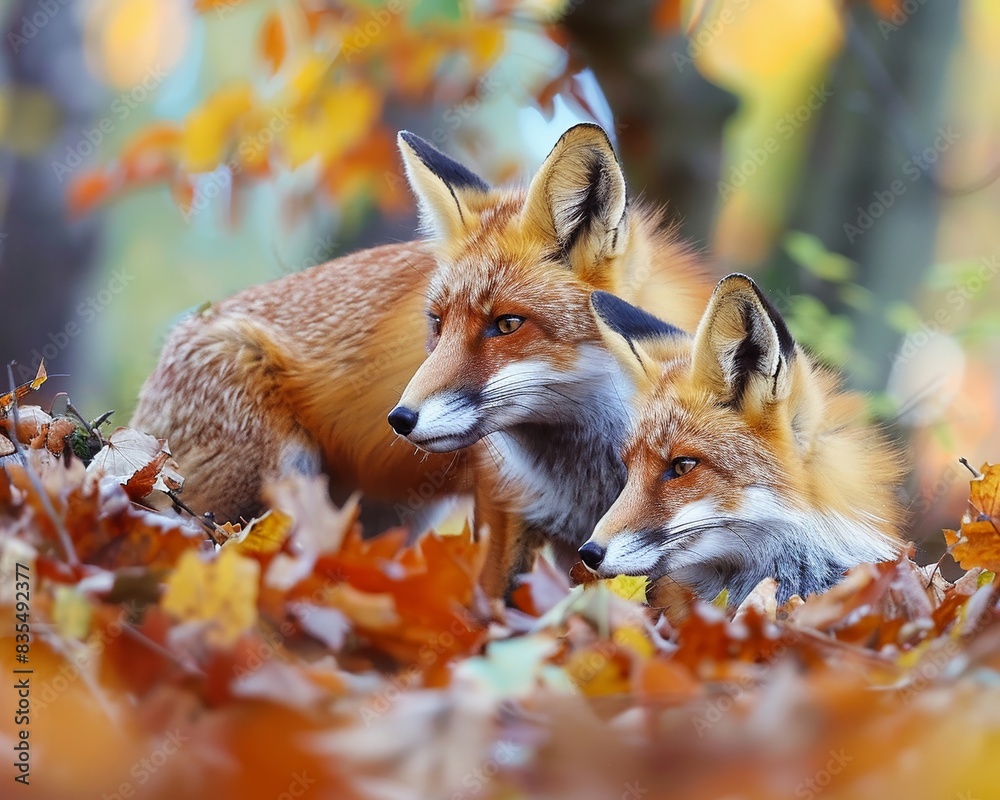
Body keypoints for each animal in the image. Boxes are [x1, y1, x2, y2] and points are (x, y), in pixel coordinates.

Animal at [131, 123, 715, 598]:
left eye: (507, 324)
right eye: (437, 322)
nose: (400, 418)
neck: (594, 467)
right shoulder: (505, 507)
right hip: (273, 477)